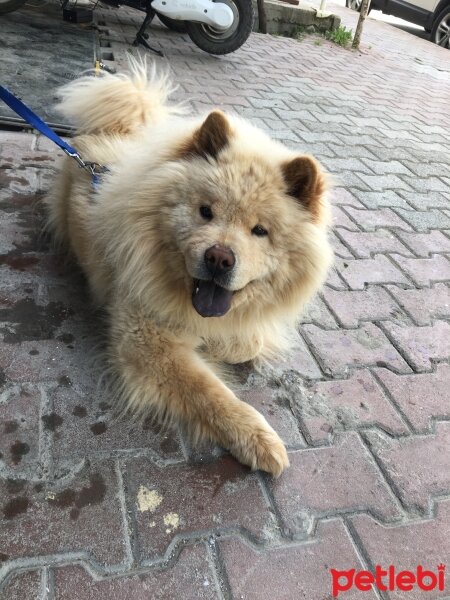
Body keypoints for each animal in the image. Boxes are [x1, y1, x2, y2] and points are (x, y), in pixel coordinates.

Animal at [46, 58, 334, 476]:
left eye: (259, 231)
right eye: (205, 211)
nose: (219, 257)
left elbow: (245, 342)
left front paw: (225, 343)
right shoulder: (146, 340)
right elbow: (210, 392)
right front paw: (256, 439)